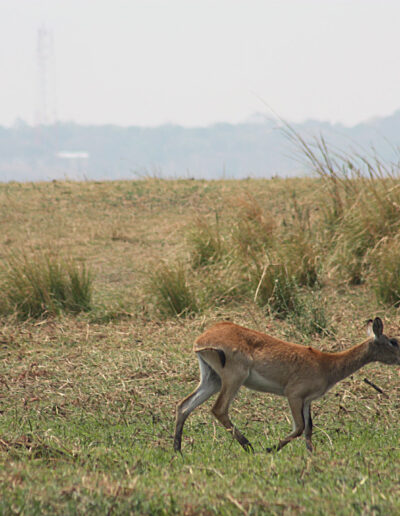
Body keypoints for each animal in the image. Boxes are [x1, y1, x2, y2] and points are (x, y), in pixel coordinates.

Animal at [173, 316, 398, 454]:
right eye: (394, 342)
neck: (326, 364)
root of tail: (201, 340)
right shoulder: (293, 395)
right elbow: (299, 427)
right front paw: (269, 449)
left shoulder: (307, 400)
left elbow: (309, 428)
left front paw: (312, 456)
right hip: (234, 378)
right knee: (219, 409)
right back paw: (250, 447)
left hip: (212, 380)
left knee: (184, 405)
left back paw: (178, 451)